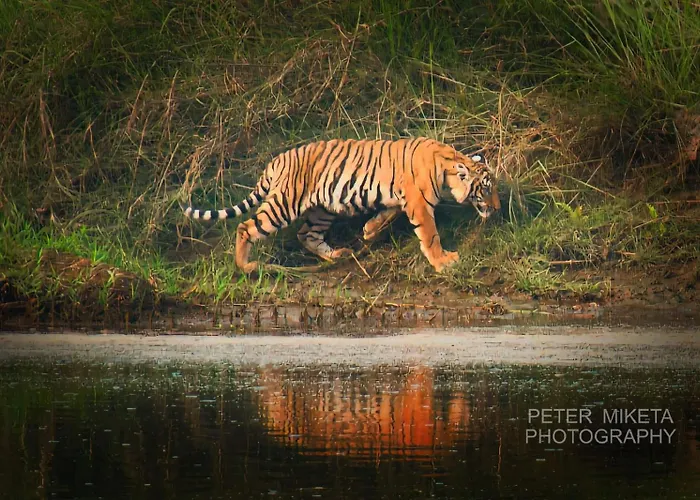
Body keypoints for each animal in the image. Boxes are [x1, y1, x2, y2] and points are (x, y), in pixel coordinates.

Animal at [184, 137, 500, 273]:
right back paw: (245, 266)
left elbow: (387, 213)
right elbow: (430, 235)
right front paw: (443, 261)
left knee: (306, 235)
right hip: (284, 204)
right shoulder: (419, 203)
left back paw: (337, 254)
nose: (497, 207)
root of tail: (277, 160)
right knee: (245, 226)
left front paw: (370, 230)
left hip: (321, 210)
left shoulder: (402, 198)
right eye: (486, 188)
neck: (449, 164)